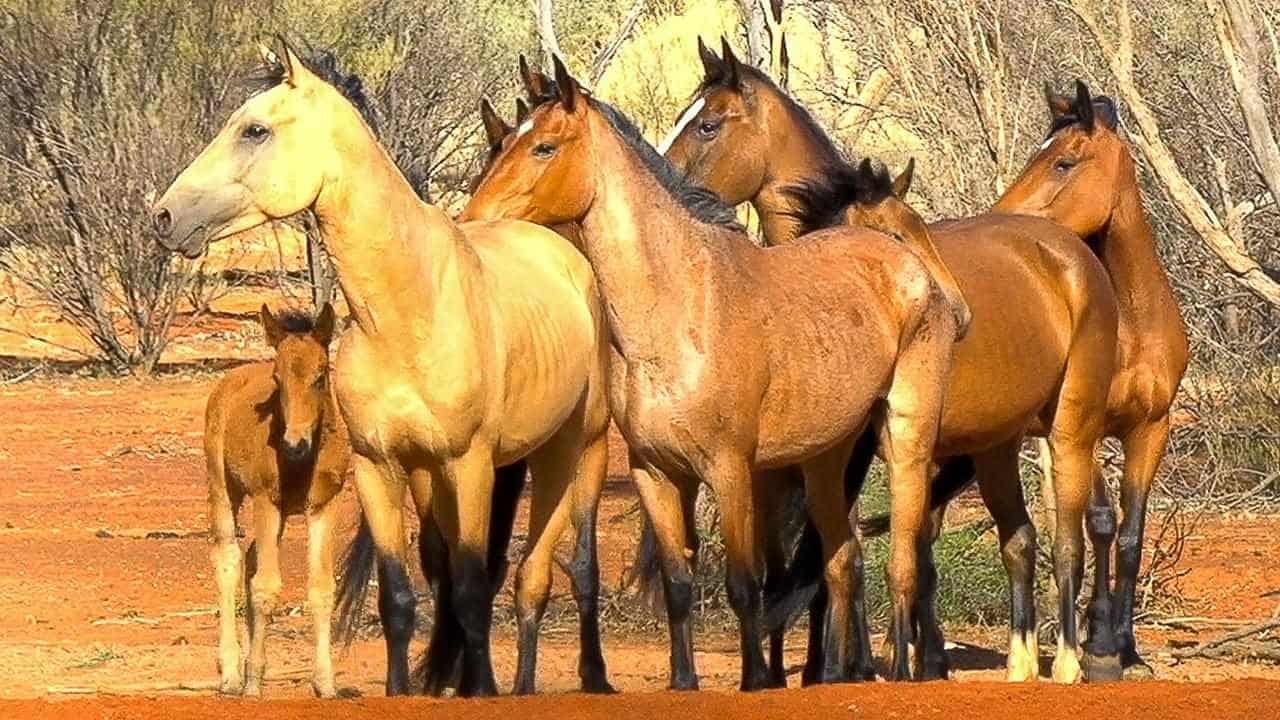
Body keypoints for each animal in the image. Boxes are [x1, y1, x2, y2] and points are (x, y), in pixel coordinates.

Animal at [207, 301, 353, 696]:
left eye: (321, 375)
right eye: (277, 379)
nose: (294, 444)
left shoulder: (323, 506)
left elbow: (321, 590)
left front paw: (326, 683)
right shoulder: (265, 500)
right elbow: (266, 588)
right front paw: (252, 683)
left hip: (284, 513)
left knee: (252, 556)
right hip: (223, 487)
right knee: (228, 558)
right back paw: (231, 672)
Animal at [465, 54, 957, 681]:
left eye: (544, 147)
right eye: (503, 144)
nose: (471, 218)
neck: (682, 309)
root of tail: (912, 269)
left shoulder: (731, 470)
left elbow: (745, 585)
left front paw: (756, 680)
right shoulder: (656, 473)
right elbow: (679, 582)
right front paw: (685, 679)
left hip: (906, 440)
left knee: (903, 561)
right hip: (826, 458)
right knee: (842, 559)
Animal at [660, 39, 1121, 676]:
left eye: (707, 125)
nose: (663, 180)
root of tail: (1070, 254)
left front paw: (860, 665)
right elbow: (827, 558)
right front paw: (831, 668)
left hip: (1069, 427)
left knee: (1070, 537)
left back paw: (1074, 661)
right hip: (996, 445)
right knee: (1020, 539)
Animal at [993, 83, 1192, 671]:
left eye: (1063, 161)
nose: (1001, 218)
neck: (1132, 320)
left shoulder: (1152, 429)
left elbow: (1130, 534)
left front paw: (1127, 647)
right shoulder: (1092, 428)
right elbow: (1100, 523)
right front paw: (1100, 639)